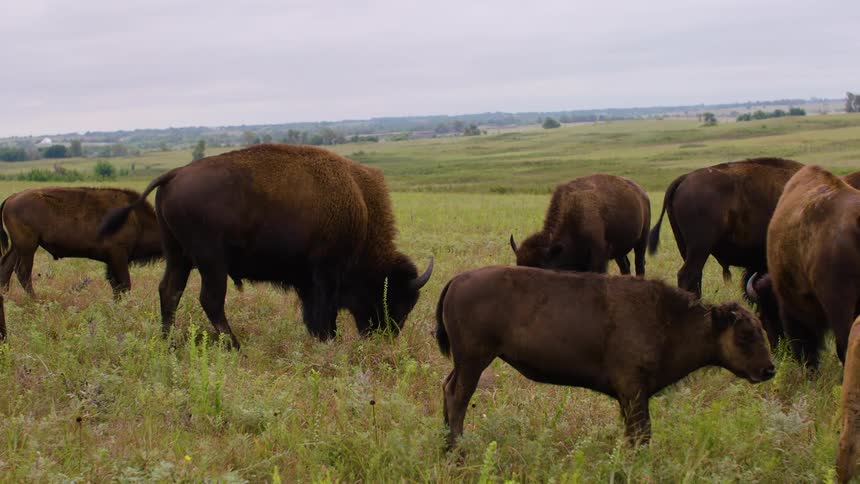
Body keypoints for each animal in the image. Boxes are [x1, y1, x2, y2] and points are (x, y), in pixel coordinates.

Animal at [0, 187, 162, 298]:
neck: (138, 220)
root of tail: (11, 197)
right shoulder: (118, 256)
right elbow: (124, 284)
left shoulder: (112, 261)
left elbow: (116, 285)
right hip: (28, 247)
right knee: (23, 272)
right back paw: (36, 301)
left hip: (18, 247)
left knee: (7, 267)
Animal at [99, 144, 433, 349]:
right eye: (395, 299)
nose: (384, 337)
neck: (360, 211)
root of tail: (175, 174)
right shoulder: (325, 273)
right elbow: (325, 312)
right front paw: (329, 340)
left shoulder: (308, 280)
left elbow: (313, 313)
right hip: (211, 261)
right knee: (210, 299)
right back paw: (234, 345)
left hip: (177, 255)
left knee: (170, 291)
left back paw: (168, 340)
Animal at [435, 265, 775, 449]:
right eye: (745, 335)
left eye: (763, 329)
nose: (768, 370)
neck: (670, 320)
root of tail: (457, 279)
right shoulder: (634, 391)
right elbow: (642, 433)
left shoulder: (629, 396)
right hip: (474, 360)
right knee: (458, 396)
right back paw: (457, 450)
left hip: (464, 362)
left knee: (447, 388)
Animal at [509, 174, 651, 275]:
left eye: (540, 268)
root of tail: (642, 193)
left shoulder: (598, 258)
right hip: (619, 251)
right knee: (625, 267)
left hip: (642, 241)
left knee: (639, 265)